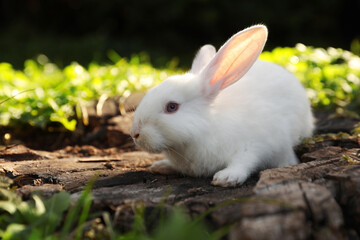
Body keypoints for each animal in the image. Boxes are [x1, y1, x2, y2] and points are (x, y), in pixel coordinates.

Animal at [129, 25, 312, 188]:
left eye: (172, 107)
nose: (135, 134)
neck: (208, 127)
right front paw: (161, 165)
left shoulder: (258, 144)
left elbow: (245, 161)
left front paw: (226, 178)